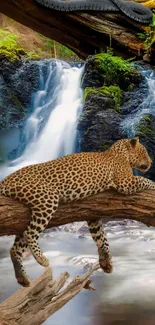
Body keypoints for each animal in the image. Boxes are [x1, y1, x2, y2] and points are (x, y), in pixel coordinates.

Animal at [0, 135, 155, 284]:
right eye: (145, 152)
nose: (151, 162)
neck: (121, 153)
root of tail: (5, 180)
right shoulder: (125, 182)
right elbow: (144, 180)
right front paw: (153, 185)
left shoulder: (93, 215)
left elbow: (101, 237)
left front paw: (106, 262)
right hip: (47, 198)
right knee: (30, 233)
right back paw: (41, 259)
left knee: (15, 248)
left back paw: (22, 278)